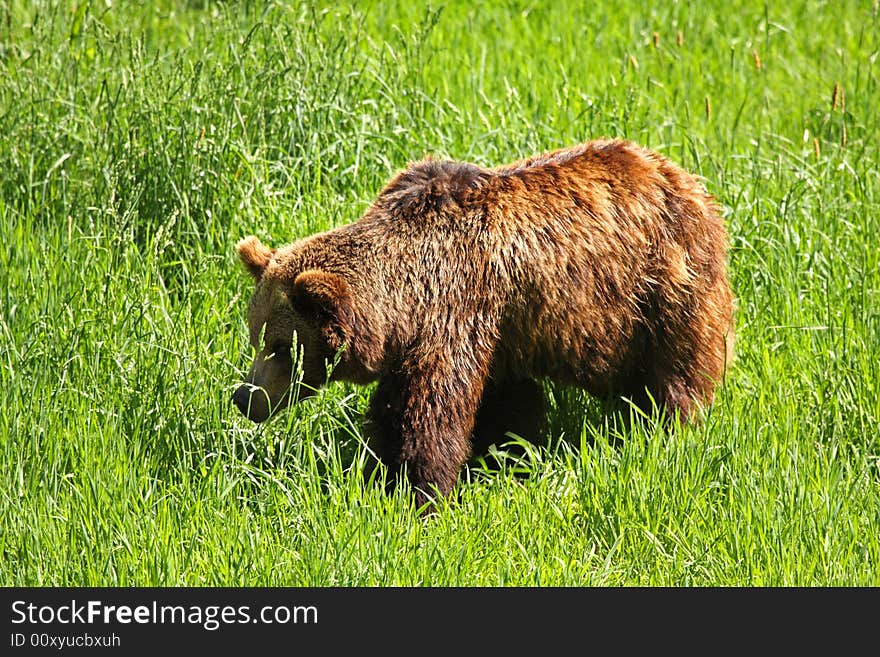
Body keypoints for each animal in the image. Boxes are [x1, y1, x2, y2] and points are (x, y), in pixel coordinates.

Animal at [230, 138, 732, 508]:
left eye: (282, 347)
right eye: (255, 337)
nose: (244, 396)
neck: (404, 298)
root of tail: (684, 178)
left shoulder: (456, 309)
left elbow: (429, 413)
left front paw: (415, 488)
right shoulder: (499, 330)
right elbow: (505, 402)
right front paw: (506, 454)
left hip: (663, 288)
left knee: (675, 372)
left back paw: (666, 429)